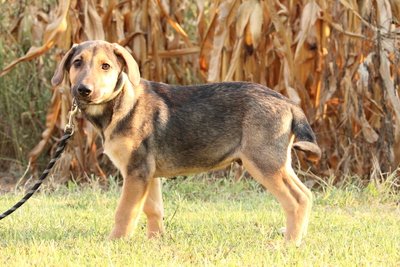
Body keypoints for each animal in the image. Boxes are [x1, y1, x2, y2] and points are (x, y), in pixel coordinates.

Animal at [51, 40, 320, 247]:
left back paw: (288, 244)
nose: (83, 90)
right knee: (306, 195)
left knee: (297, 199)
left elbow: (125, 212)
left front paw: (114, 242)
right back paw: (299, 237)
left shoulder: (136, 170)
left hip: (263, 162)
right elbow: (153, 209)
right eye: (77, 63)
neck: (118, 105)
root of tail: (288, 102)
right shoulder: (148, 173)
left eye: (105, 66)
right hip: (277, 162)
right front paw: (154, 242)